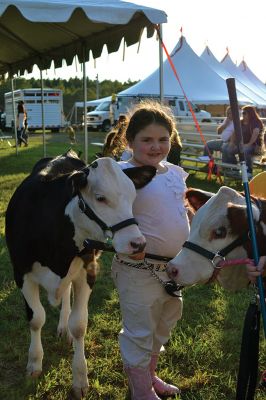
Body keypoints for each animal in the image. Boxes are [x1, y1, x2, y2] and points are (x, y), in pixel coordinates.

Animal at [4, 151, 156, 400]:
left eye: (133, 196)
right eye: (100, 198)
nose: (138, 244)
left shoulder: (88, 271)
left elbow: (79, 324)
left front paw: (80, 378)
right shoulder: (21, 273)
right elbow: (36, 318)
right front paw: (34, 363)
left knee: (66, 294)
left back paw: (63, 328)